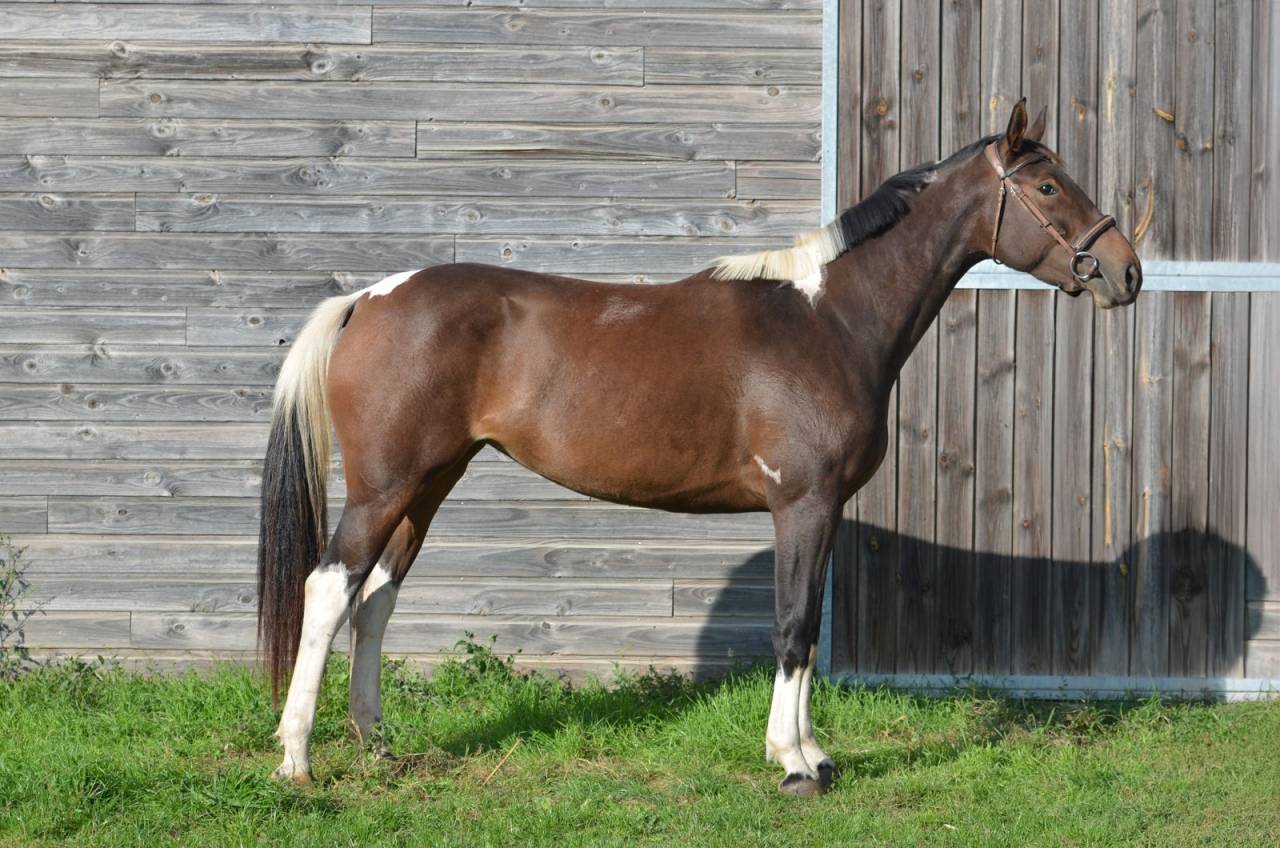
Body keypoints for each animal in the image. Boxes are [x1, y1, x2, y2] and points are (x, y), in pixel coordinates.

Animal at [257, 99, 1142, 797]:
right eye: (1048, 186)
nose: (1126, 272)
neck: (828, 320)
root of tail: (369, 298)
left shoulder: (822, 510)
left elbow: (807, 627)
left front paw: (814, 755)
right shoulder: (802, 503)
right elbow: (791, 625)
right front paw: (793, 764)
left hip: (428, 483)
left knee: (376, 599)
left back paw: (377, 746)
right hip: (385, 486)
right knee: (329, 590)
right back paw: (297, 759)